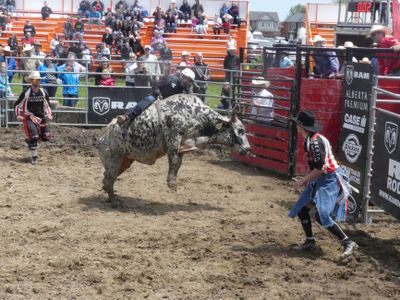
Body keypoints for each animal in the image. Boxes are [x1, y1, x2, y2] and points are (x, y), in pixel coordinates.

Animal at [97, 95, 250, 207]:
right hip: (114, 157)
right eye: (240, 130)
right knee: (110, 177)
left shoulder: (184, 145)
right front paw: (172, 183)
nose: (248, 149)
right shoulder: (173, 137)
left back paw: (111, 197)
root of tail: (105, 132)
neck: (194, 114)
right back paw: (114, 202)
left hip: (125, 160)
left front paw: (173, 181)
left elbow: (178, 163)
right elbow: (174, 160)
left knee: (107, 177)